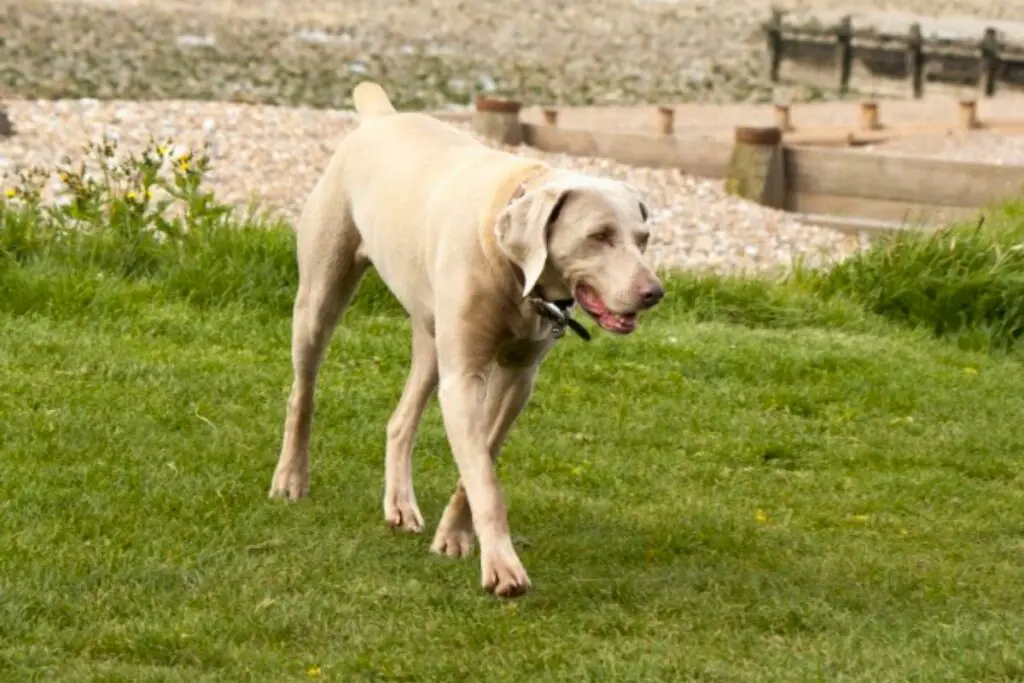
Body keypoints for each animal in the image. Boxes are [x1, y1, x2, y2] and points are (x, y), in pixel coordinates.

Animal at [268, 81, 663, 598]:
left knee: (400, 420)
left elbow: (480, 461)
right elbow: (485, 479)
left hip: (431, 335)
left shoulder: (518, 379)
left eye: (643, 238)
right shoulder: (465, 377)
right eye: (598, 236)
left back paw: (399, 504)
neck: (515, 269)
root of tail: (381, 115)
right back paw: (291, 478)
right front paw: (503, 567)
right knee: (303, 390)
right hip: (320, 295)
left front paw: (454, 536)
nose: (654, 292)